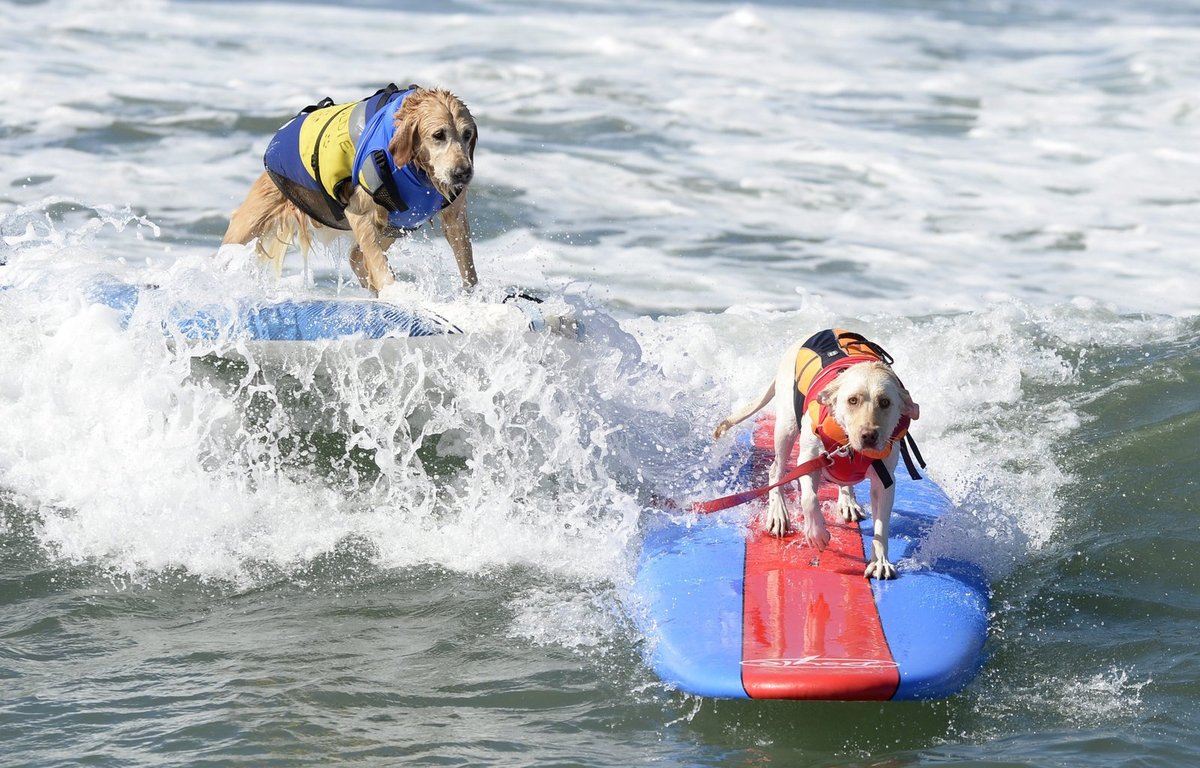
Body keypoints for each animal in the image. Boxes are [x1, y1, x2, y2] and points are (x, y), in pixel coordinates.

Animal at [223, 84, 475, 294]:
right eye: (438, 135)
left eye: (468, 135)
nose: (463, 173)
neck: (417, 169)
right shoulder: (359, 213)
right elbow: (380, 265)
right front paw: (398, 292)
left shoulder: (455, 216)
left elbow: (468, 266)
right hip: (249, 224)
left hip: (392, 227)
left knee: (357, 258)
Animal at [710, 328, 916, 576]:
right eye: (852, 400)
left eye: (885, 402)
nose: (869, 436)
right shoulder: (809, 459)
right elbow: (809, 498)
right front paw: (817, 534)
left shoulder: (884, 480)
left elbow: (881, 524)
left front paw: (881, 561)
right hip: (786, 427)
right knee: (776, 470)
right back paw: (778, 512)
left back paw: (847, 499)